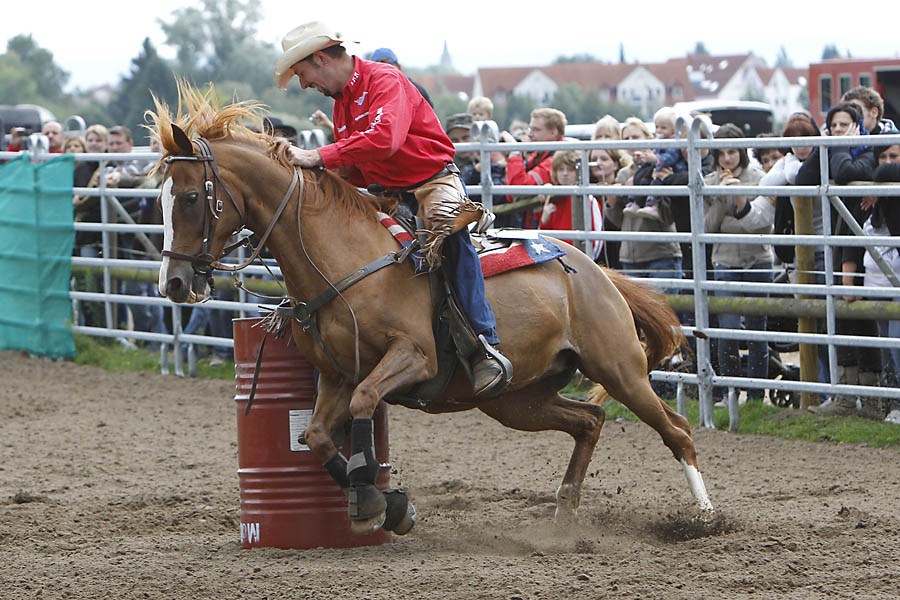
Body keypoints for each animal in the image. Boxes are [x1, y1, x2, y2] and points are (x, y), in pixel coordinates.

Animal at [148, 83, 712, 536]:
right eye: (161, 201)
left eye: (193, 197)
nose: (173, 283)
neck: (344, 257)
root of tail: (593, 270)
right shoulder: (337, 373)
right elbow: (317, 436)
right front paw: (384, 504)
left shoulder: (413, 357)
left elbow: (365, 405)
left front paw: (379, 502)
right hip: (518, 400)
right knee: (590, 420)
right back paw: (564, 511)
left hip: (619, 370)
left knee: (677, 431)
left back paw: (705, 517)